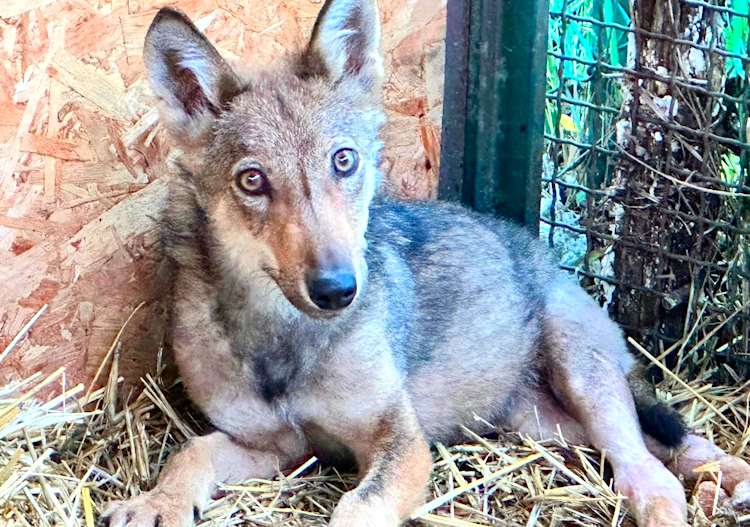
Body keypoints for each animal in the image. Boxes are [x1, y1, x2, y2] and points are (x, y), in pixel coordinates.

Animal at [101, 1, 750, 527]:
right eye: (252, 181)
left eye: (343, 161)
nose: (337, 288)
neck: (283, 340)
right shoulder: (274, 447)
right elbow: (191, 454)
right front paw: (156, 504)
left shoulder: (402, 442)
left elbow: (356, 509)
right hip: (542, 425)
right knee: (658, 448)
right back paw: (727, 478)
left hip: (582, 377)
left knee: (653, 468)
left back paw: (720, 482)